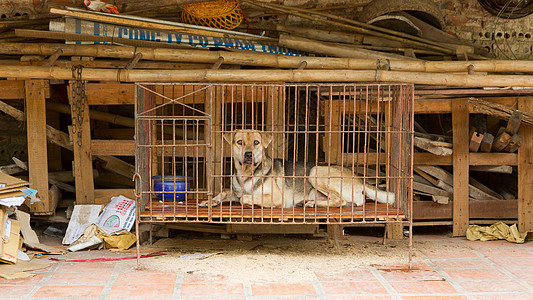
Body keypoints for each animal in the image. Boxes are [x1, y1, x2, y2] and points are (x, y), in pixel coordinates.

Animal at [197, 129, 392, 209]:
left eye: (256, 142)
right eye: (239, 142)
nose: (248, 154)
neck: (247, 174)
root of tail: (359, 179)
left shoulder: (277, 197)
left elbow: (246, 198)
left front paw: (250, 201)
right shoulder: (235, 191)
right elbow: (225, 192)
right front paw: (210, 201)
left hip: (316, 172)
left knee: (340, 200)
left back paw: (312, 203)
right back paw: (310, 202)